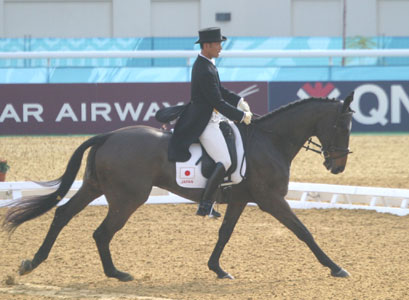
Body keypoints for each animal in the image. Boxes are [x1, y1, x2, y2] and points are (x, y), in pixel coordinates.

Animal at [2, 93, 354, 282]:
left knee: (62, 214)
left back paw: (32, 262)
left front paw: (218, 269)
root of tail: (110, 135)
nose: (337, 167)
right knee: (101, 232)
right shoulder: (272, 200)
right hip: (127, 198)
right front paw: (336, 268)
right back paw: (117, 274)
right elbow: (303, 231)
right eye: (341, 124)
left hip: (95, 187)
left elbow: (225, 233)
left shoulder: (240, 199)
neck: (270, 141)